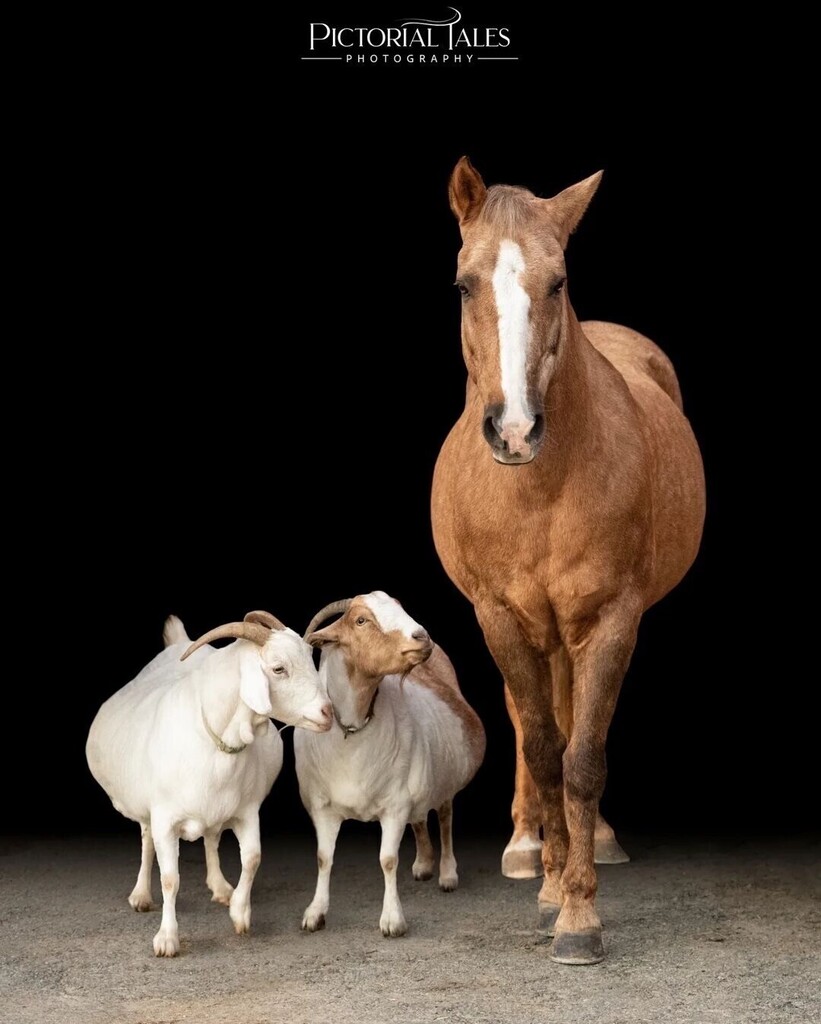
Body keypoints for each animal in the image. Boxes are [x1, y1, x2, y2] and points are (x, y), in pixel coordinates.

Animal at [85, 610, 332, 956]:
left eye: (311, 658)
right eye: (278, 669)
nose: (328, 712)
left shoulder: (247, 811)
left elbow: (252, 858)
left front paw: (240, 913)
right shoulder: (165, 818)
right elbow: (170, 878)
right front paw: (166, 939)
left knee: (212, 838)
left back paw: (220, 887)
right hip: (147, 809)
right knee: (147, 840)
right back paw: (141, 895)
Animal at [293, 590, 486, 937]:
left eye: (400, 607)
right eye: (361, 620)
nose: (422, 637)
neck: (352, 734)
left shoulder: (395, 806)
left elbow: (387, 859)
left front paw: (392, 920)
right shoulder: (323, 807)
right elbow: (323, 857)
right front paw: (314, 913)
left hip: (445, 780)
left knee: (445, 818)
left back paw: (447, 874)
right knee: (420, 818)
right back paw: (423, 865)